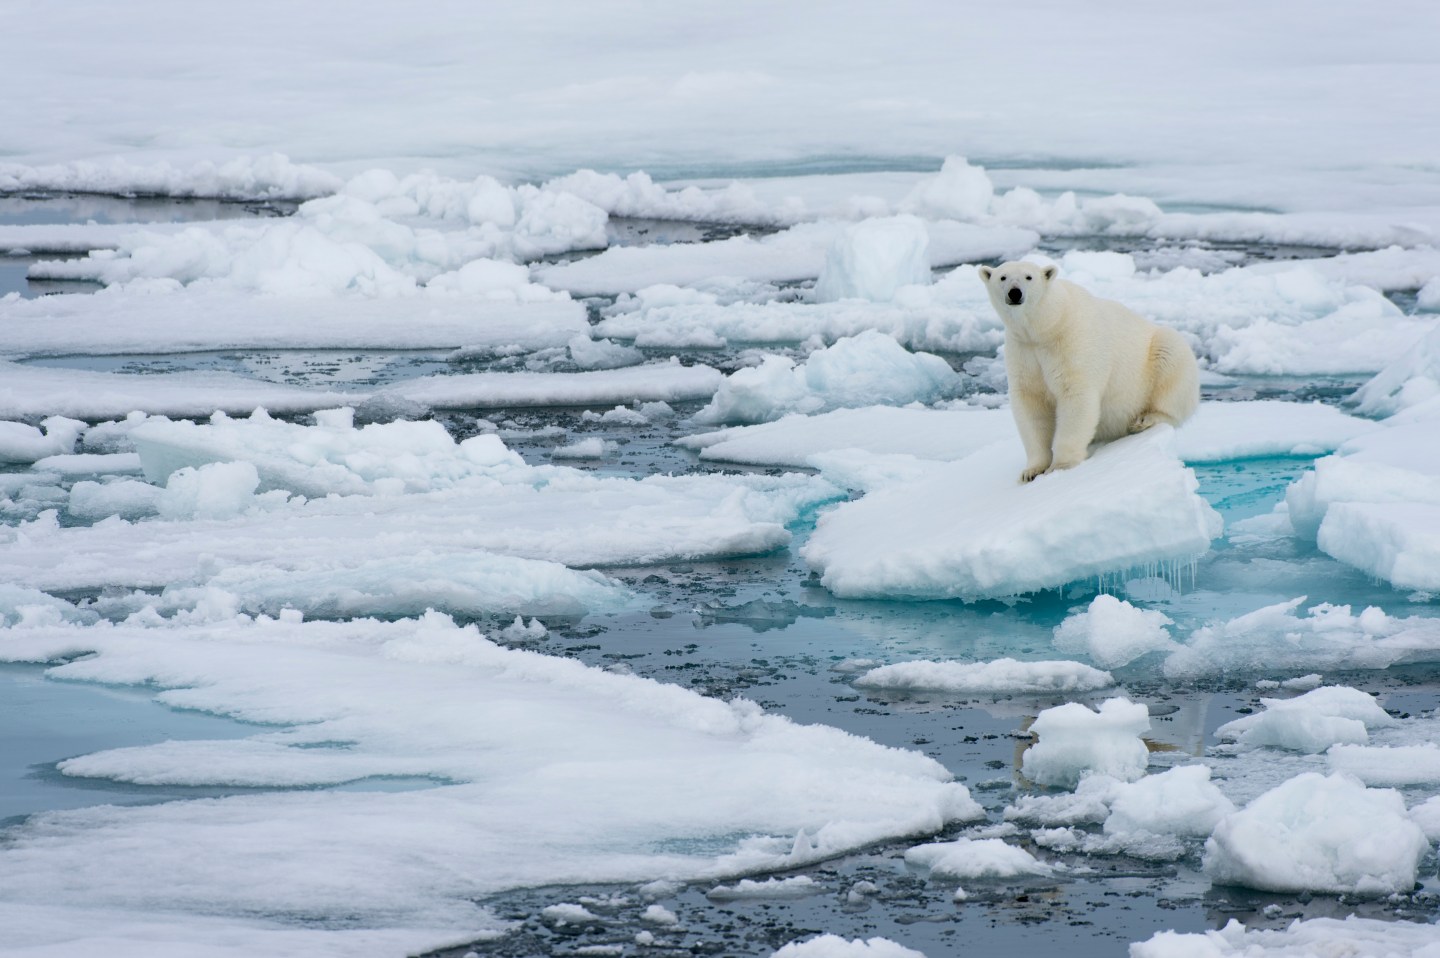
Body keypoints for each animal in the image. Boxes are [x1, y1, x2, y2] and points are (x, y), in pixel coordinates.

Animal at [978, 261, 1200, 483]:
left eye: (1028, 277)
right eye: (1003, 277)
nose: (1015, 293)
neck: (1045, 326)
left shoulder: (1070, 342)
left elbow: (1075, 396)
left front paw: (1061, 466)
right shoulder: (1023, 351)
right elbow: (1031, 404)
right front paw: (1032, 471)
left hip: (1157, 356)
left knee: (1171, 367)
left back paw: (1145, 419)